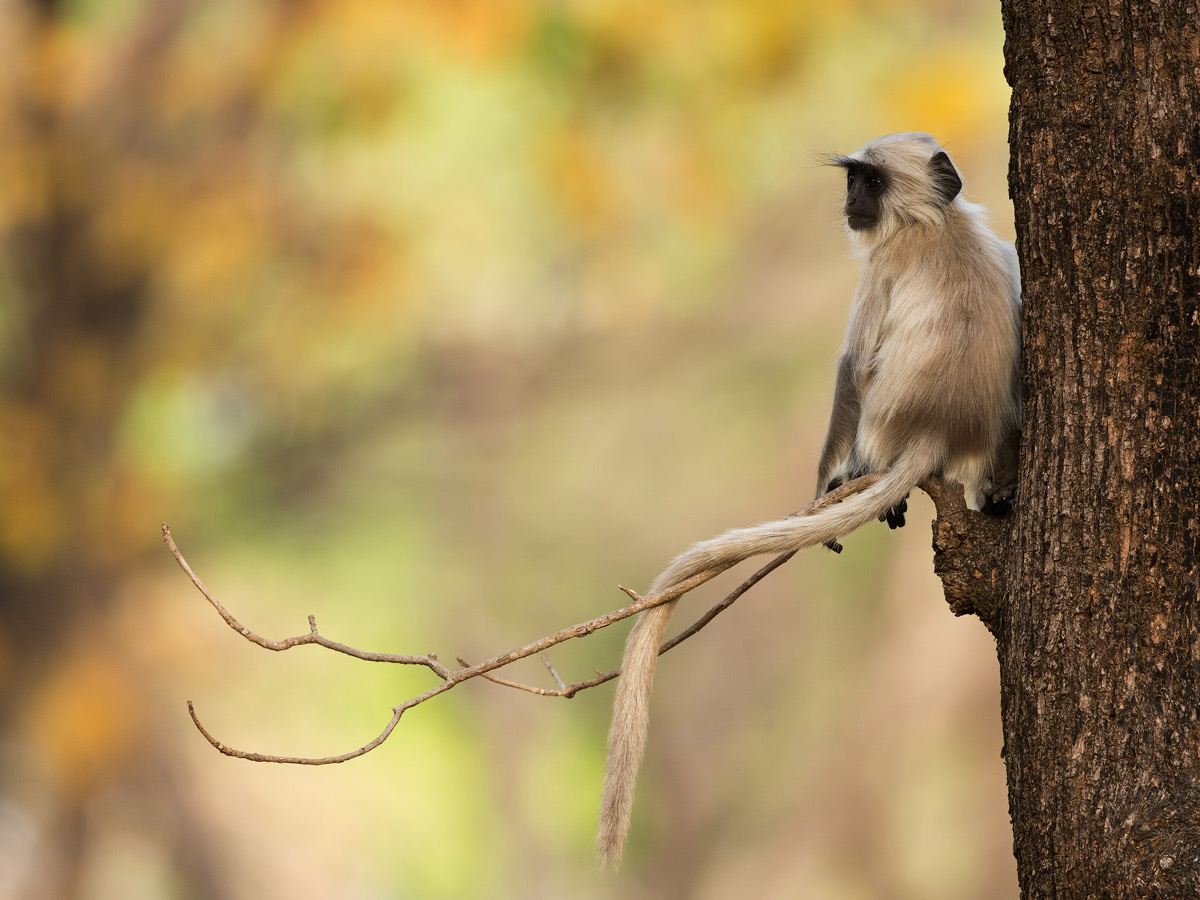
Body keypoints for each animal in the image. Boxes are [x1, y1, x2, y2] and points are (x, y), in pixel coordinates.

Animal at [595, 130, 1017, 868]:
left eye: (870, 182)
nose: (849, 202)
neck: (935, 222)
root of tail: (934, 434)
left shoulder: (882, 266)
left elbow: (850, 369)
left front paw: (824, 486)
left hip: (880, 423)